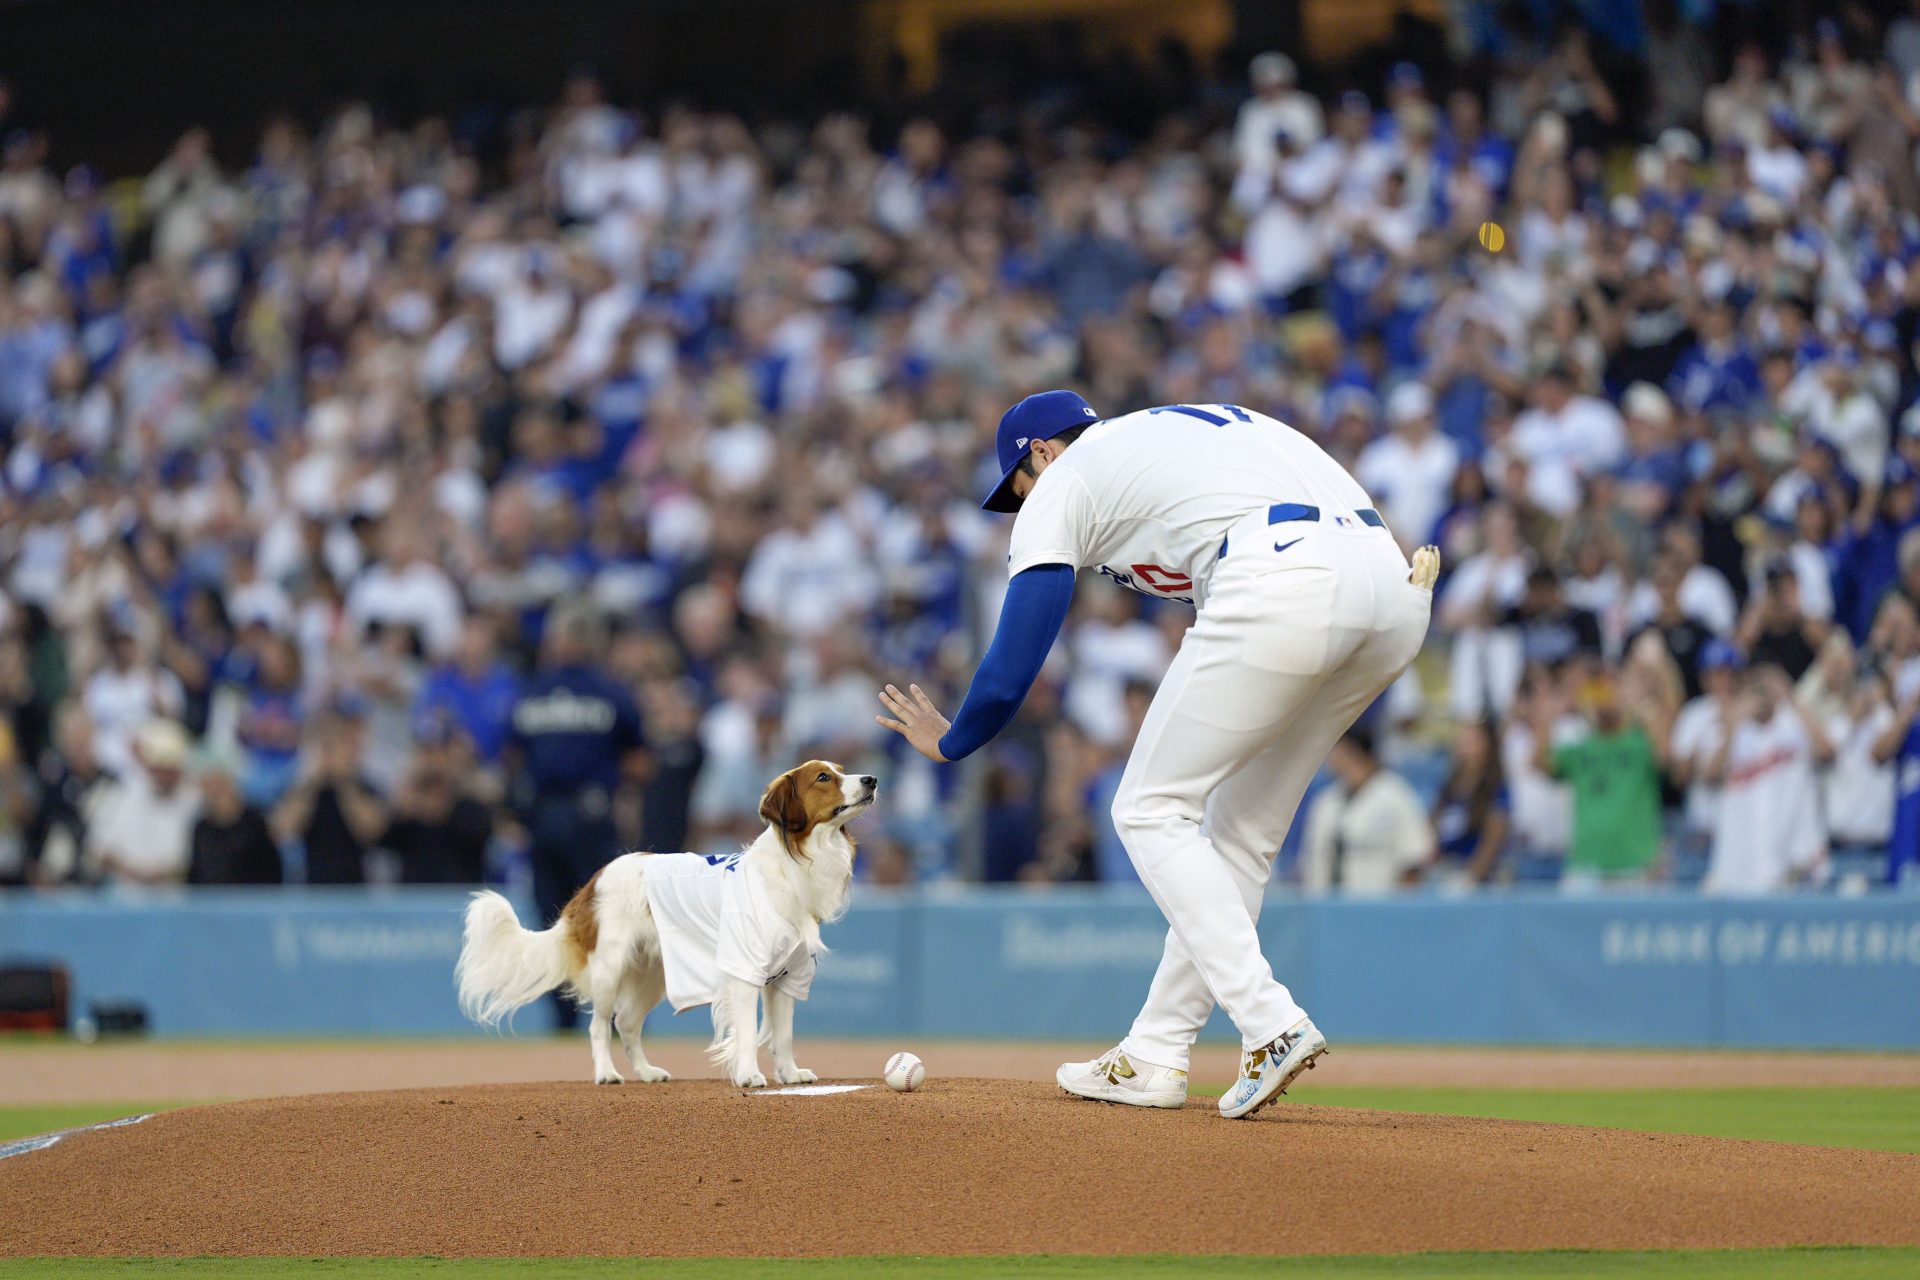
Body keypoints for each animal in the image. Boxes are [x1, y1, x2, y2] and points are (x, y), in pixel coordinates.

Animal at [456, 759, 879, 1090]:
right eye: (823, 778)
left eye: (843, 771)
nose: (872, 779)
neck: (795, 867)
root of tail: (594, 880)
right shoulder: (744, 971)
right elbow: (746, 1031)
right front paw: (748, 1076)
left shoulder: (789, 974)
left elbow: (784, 1034)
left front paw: (790, 1075)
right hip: (610, 970)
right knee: (600, 1026)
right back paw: (607, 1073)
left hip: (652, 975)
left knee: (627, 1024)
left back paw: (646, 1072)